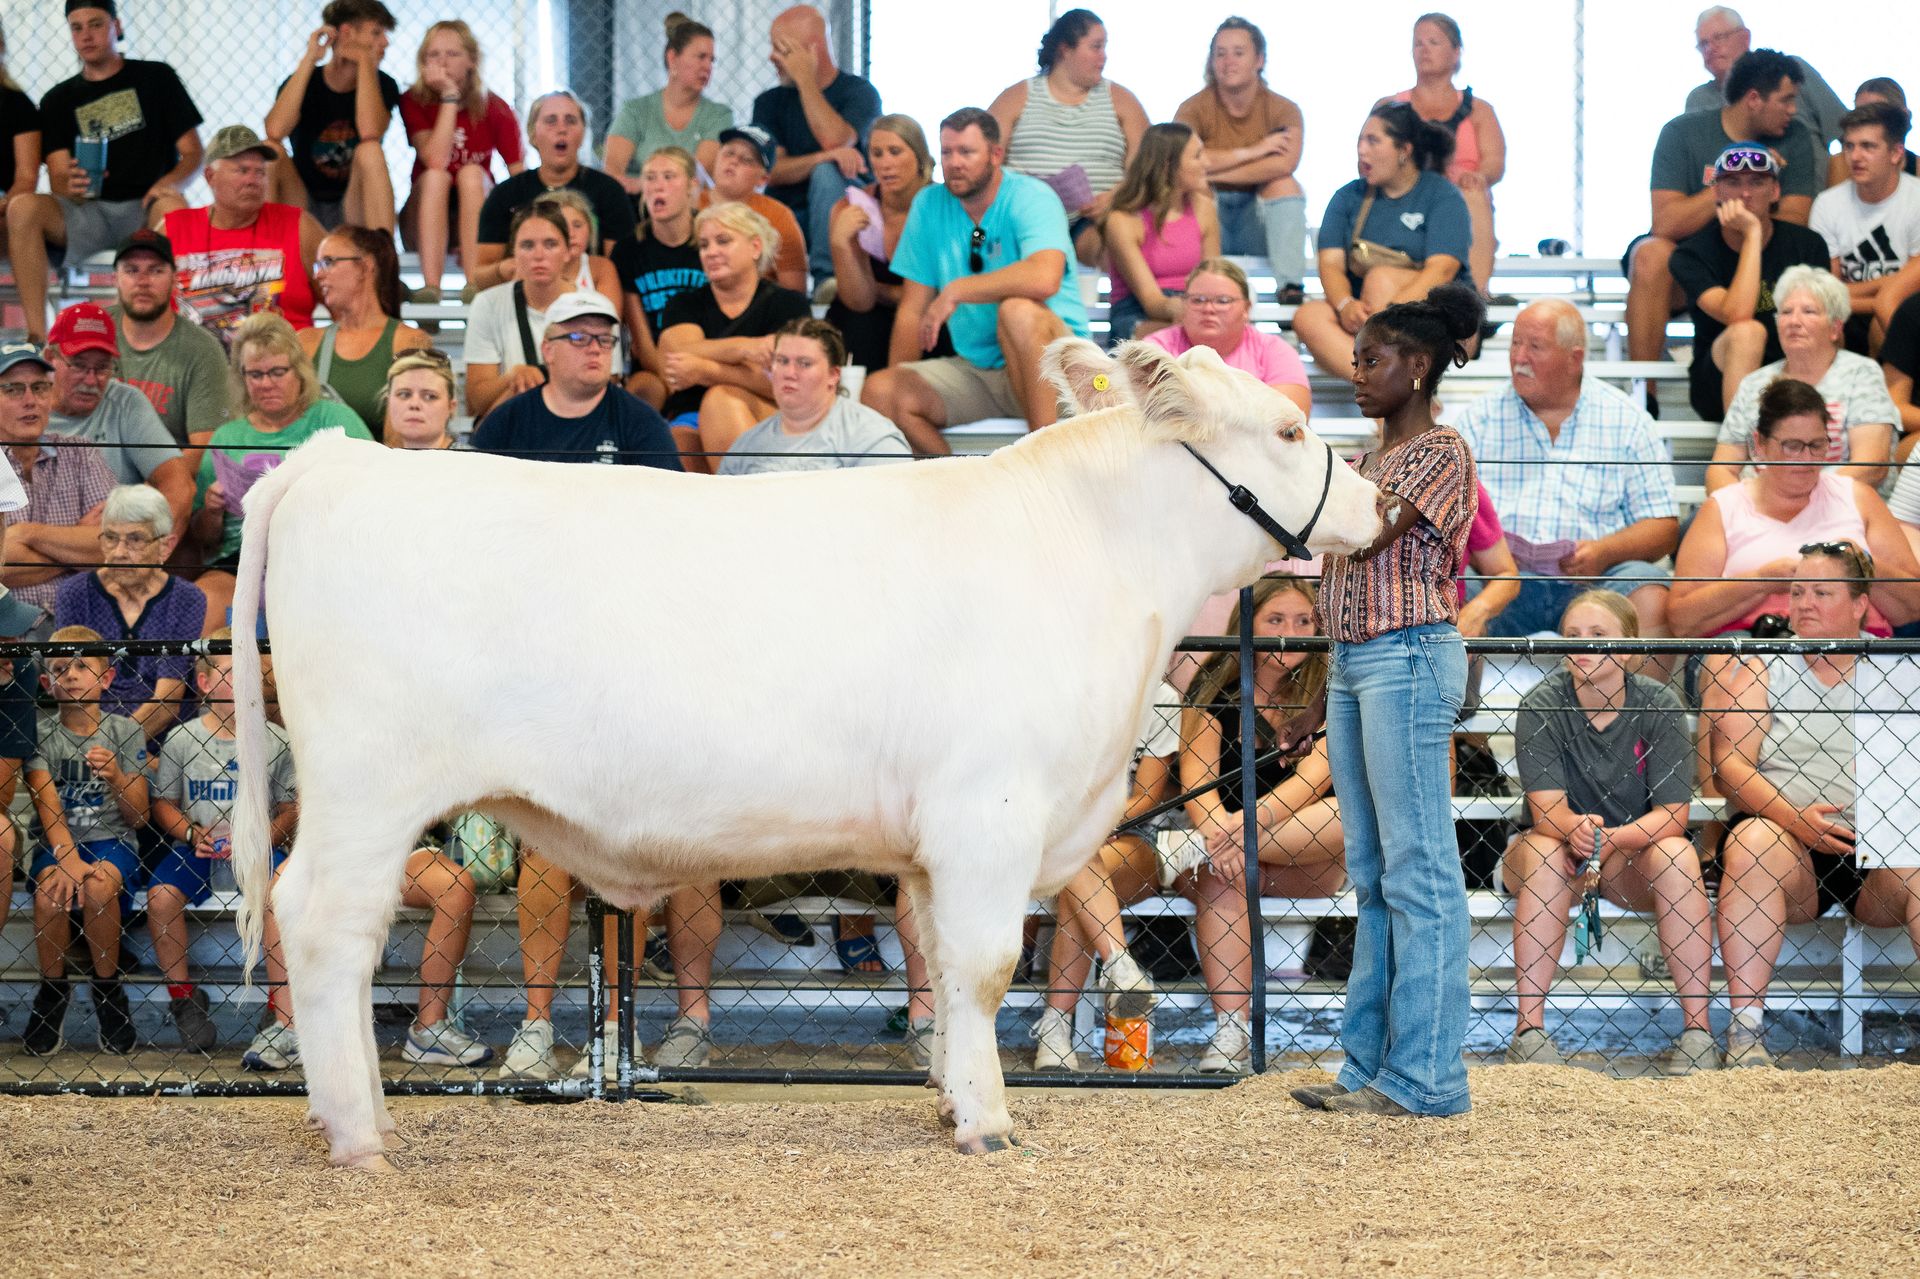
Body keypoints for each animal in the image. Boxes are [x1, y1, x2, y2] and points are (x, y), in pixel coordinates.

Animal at [231, 336, 1384, 1168]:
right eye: (1289, 427)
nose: (1383, 506)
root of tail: (341, 459)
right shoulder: (990, 811)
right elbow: (983, 968)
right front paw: (991, 1124)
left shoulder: (933, 843)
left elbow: (941, 969)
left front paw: (951, 1100)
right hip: (368, 788)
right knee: (326, 925)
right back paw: (360, 1133)